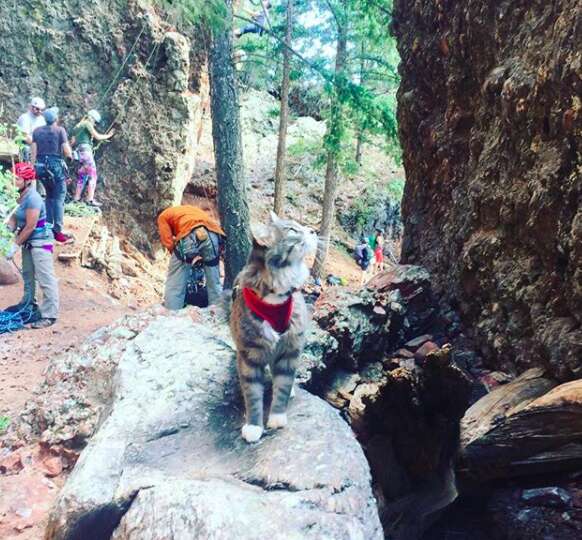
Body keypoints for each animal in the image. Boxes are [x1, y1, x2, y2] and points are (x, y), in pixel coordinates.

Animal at [229, 211, 320, 442]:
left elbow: (283, 385)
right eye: (293, 230)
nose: (313, 230)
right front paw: (254, 426)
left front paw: (277, 417)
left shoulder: (290, 347)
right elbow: (252, 394)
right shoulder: (250, 354)